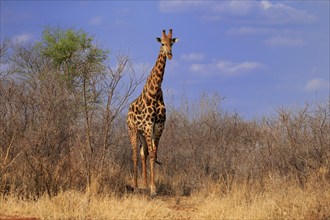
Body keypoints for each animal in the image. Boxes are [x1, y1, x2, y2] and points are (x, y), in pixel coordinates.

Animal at [126, 28, 178, 196]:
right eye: (162, 43)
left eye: (171, 43)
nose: (170, 54)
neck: (155, 93)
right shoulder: (149, 125)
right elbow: (150, 156)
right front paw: (153, 189)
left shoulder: (159, 127)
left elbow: (153, 154)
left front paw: (152, 186)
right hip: (133, 130)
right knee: (135, 155)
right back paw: (136, 186)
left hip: (142, 133)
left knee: (144, 153)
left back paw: (143, 183)